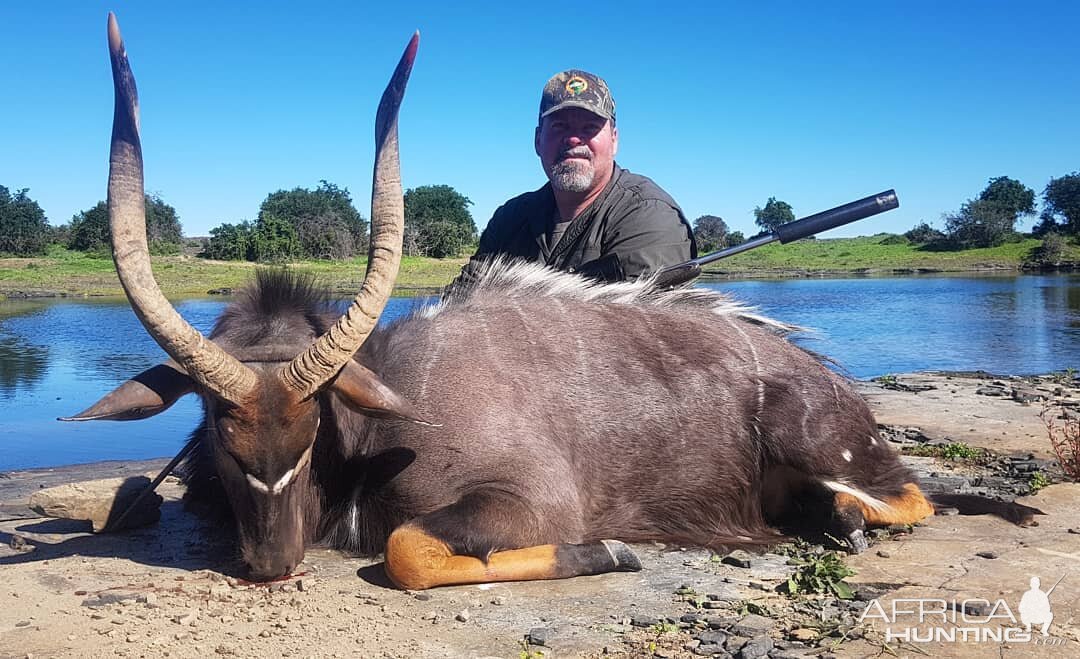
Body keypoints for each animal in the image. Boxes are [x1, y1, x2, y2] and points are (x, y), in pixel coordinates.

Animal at [69, 14, 1036, 583]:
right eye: (216, 427)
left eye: (313, 422)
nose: (271, 558)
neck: (378, 423)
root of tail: (820, 372)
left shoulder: (524, 500)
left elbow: (406, 548)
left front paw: (608, 549)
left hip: (829, 444)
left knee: (911, 497)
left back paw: (847, 517)